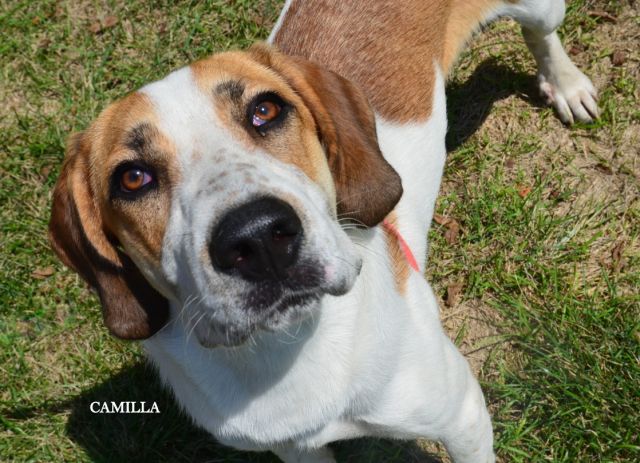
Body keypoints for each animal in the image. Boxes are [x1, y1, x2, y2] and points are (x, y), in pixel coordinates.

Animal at [47, 0, 596, 463]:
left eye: (265, 110)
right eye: (132, 178)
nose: (258, 238)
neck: (290, 351)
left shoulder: (462, 417)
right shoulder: (295, 449)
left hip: (540, 9)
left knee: (541, 35)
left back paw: (567, 86)